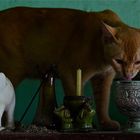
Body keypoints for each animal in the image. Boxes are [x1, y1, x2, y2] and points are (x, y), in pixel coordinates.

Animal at [0, 6, 140, 130]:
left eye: (138, 62)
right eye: (119, 61)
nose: (128, 75)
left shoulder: (104, 78)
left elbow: (103, 103)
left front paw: (105, 123)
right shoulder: (70, 72)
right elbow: (76, 98)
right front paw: (78, 123)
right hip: (13, 71)